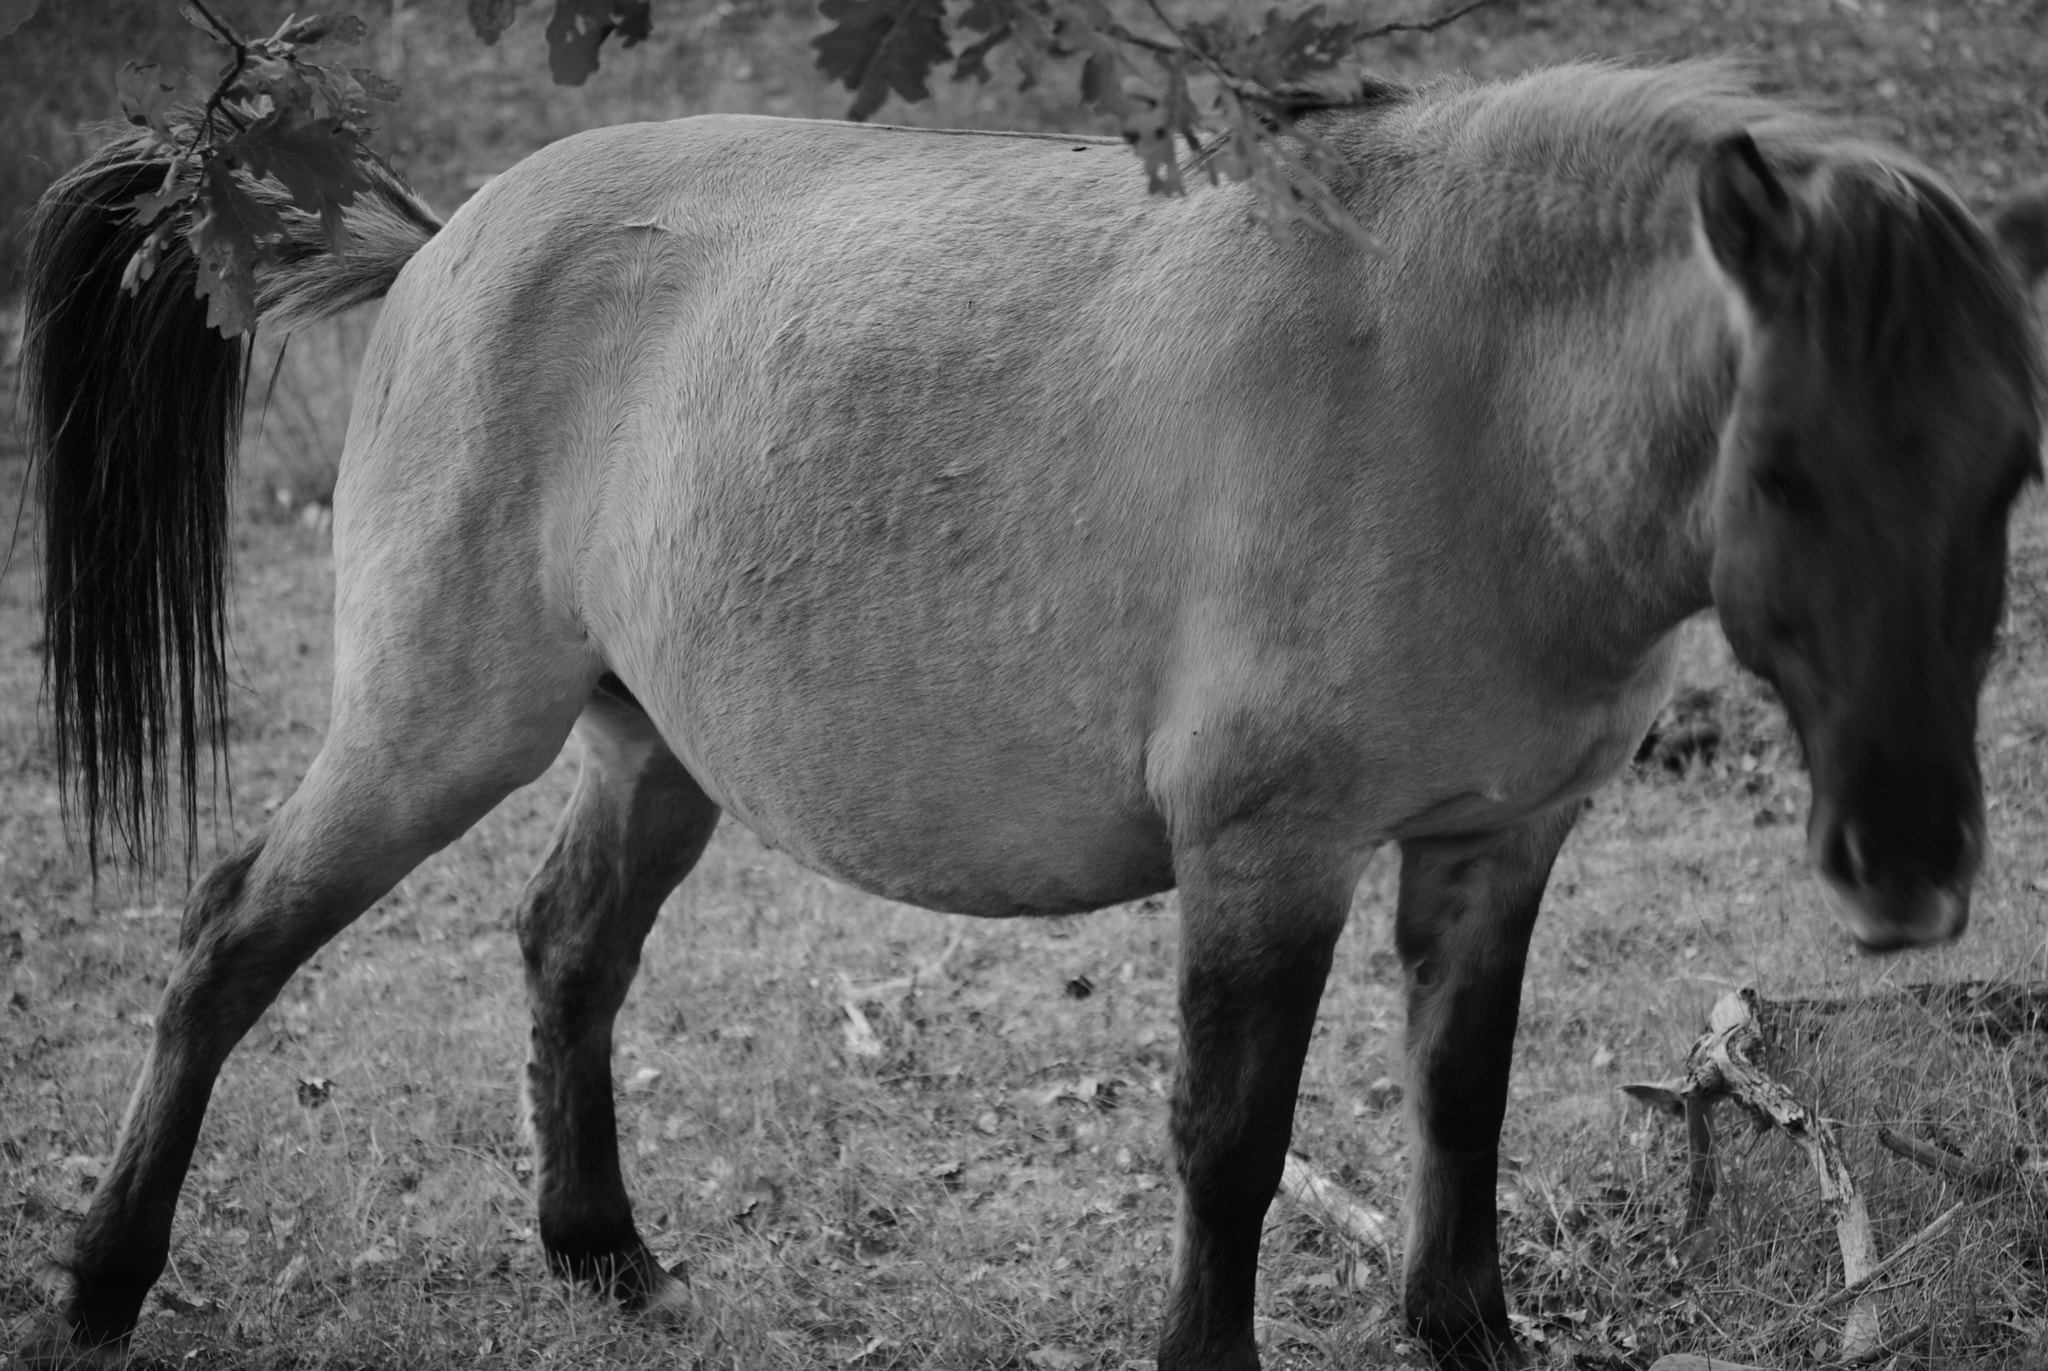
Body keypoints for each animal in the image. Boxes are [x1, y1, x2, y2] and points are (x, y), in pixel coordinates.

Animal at [18, 58, 2048, 1371]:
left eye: (2006, 470)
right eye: (1776, 471)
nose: (1909, 878)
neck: (1460, 388)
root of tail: (442, 238)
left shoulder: (1494, 846)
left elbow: (1456, 1097)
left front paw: (1464, 1330)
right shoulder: (1264, 857)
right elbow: (1228, 1139)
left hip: (647, 744)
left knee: (566, 951)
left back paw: (607, 1259)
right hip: (435, 728)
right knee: (229, 938)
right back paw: (105, 1280)